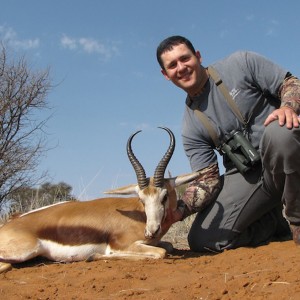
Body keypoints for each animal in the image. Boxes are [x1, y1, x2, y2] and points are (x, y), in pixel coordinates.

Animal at [0, 126, 202, 272]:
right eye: (141, 199)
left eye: (164, 196)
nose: (151, 231)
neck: (140, 217)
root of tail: (8, 225)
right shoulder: (123, 245)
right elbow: (161, 252)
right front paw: (93, 256)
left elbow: (168, 246)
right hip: (25, 250)